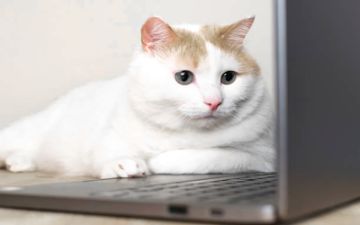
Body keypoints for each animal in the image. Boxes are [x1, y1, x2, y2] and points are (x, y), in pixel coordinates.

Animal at [0, 16, 272, 178]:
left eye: (228, 78)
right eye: (184, 77)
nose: (214, 101)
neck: (186, 132)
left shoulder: (263, 157)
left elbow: (211, 156)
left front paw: (159, 162)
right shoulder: (109, 137)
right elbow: (108, 152)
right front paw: (126, 163)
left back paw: (19, 162)